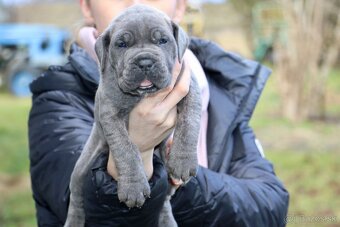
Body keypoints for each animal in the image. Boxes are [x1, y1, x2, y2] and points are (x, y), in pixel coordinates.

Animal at [64, 3, 201, 227]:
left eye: (162, 41)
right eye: (121, 44)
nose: (144, 61)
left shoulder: (190, 89)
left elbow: (190, 122)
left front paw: (183, 160)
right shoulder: (109, 112)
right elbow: (125, 147)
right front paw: (133, 187)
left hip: (170, 177)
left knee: (165, 198)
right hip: (81, 169)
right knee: (76, 197)